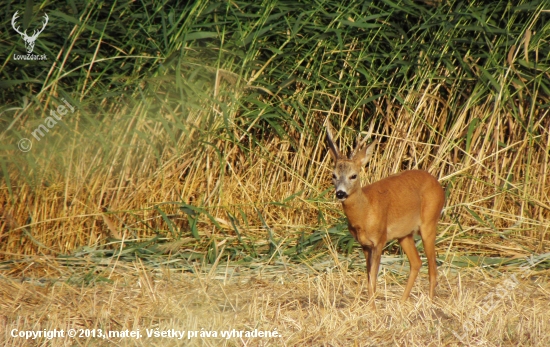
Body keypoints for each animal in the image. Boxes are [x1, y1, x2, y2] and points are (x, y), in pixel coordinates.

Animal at [326, 121, 446, 304]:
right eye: (333, 175)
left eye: (353, 175)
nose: (340, 193)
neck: (365, 212)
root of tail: (438, 184)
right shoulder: (365, 244)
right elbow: (369, 278)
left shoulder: (379, 240)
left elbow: (373, 280)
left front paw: (372, 308)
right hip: (404, 234)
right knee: (417, 262)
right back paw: (402, 302)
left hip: (429, 223)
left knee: (433, 268)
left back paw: (429, 304)